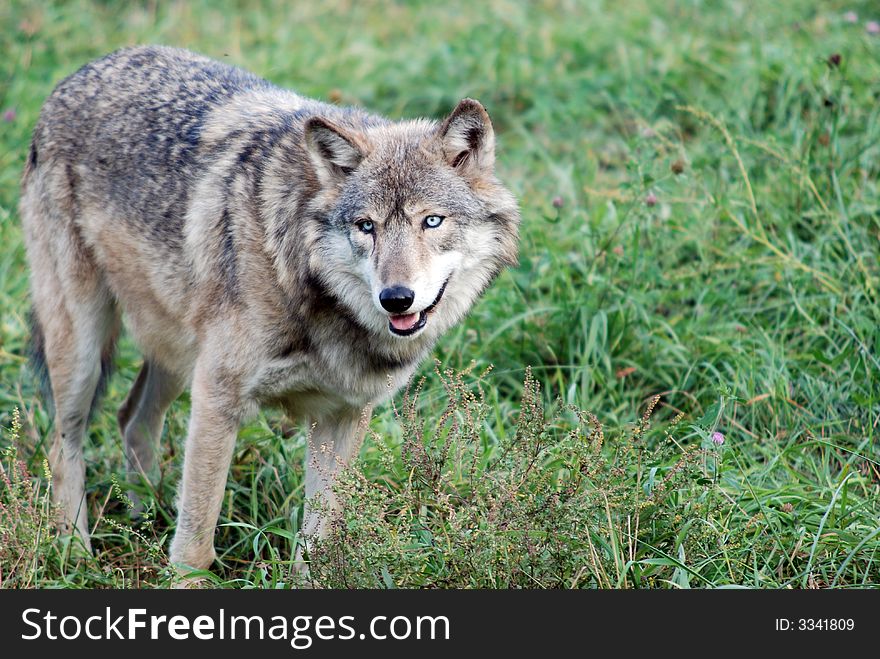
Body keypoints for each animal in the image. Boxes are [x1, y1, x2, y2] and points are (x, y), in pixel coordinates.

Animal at [20, 45, 520, 572]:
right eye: (366, 226)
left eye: (432, 221)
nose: (396, 297)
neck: (309, 285)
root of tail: (83, 71)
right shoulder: (218, 397)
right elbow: (196, 542)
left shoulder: (341, 416)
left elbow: (319, 541)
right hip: (84, 354)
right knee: (62, 446)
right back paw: (76, 555)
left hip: (177, 357)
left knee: (132, 418)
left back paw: (145, 521)